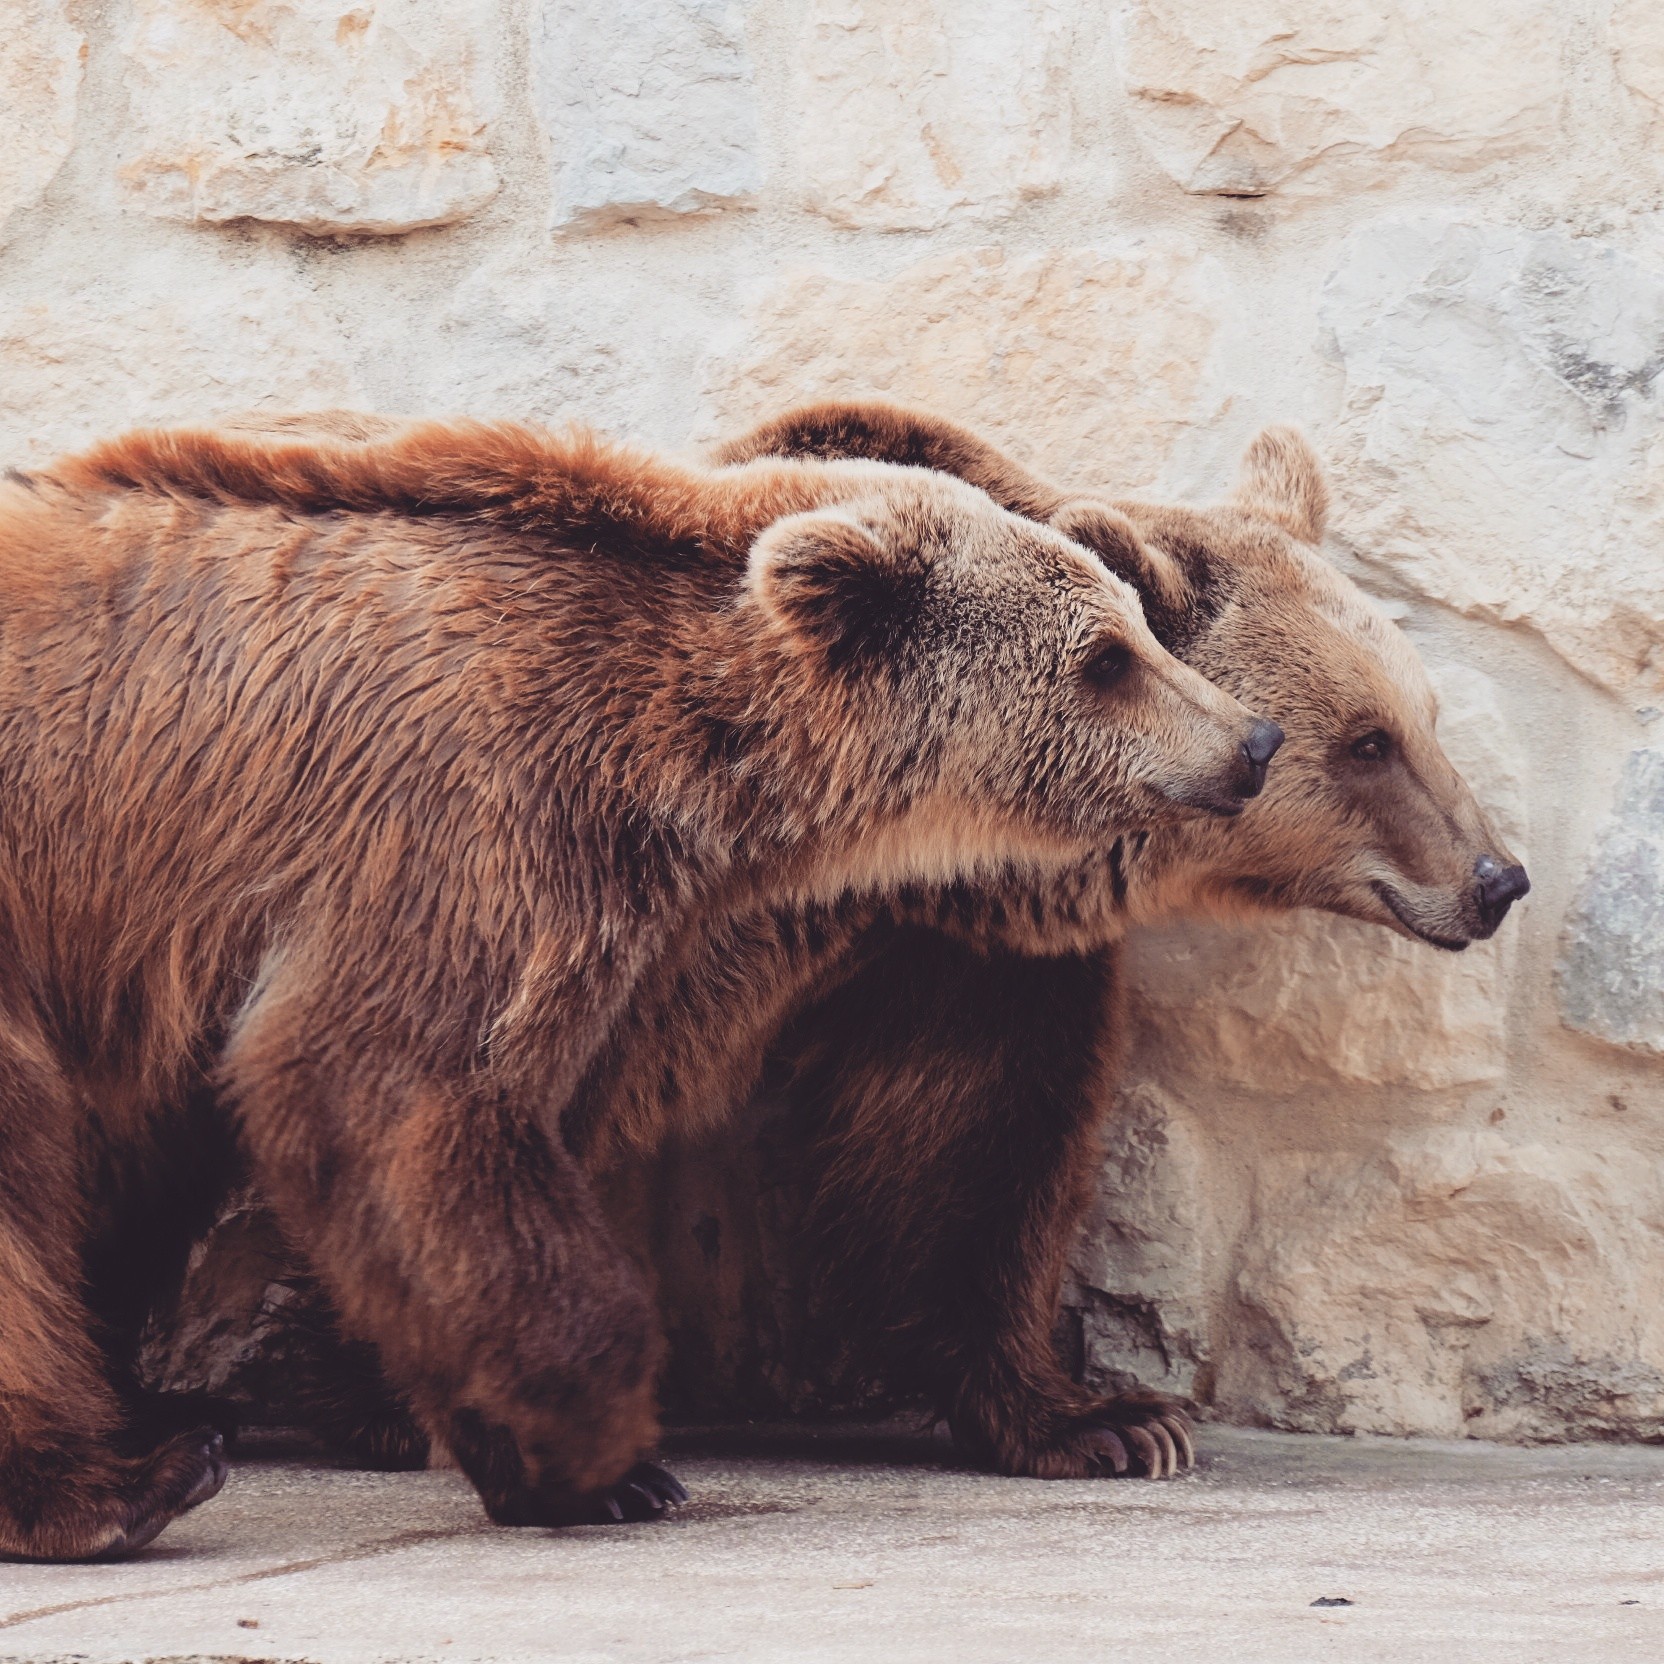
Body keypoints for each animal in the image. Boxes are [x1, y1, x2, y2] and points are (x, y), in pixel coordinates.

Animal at [0, 416, 1271, 1557]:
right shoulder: (470, 814)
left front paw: (1117, 1418)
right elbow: (395, 1083)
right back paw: (115, 1480)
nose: (1249, 743)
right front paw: (605, 1453)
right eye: (1102, 657)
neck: (684, 750)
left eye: (1136, 627)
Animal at [262, 406, 1530, 1497]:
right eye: (1365, 740)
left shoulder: (952, 958)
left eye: (1420, 716)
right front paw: (398, 1396)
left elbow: (973, 1158)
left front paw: (1106, 1419)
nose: (1495, 877)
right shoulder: (635, 911)